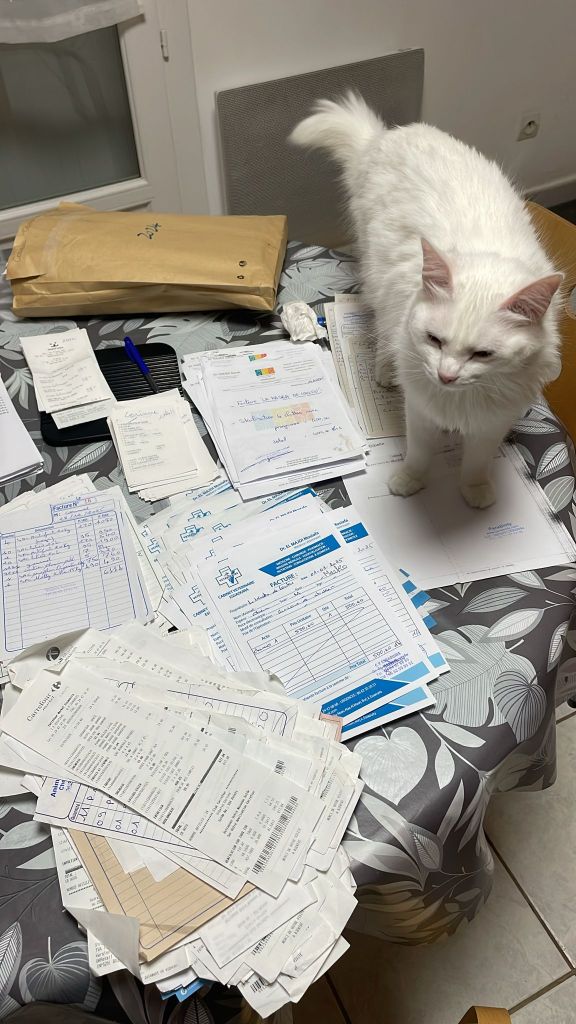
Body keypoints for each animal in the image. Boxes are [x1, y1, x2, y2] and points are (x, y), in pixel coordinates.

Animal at [290, 93, 563, 508]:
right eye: (434, 340)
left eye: (483, 354)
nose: (446, 375)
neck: (461, 401)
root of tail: (384, 137)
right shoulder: (419, 409)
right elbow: (419, 453)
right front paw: (409, 482)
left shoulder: (493, 421)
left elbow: (477, 461)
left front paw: (475, 491)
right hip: (378, 276)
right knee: (383, 330)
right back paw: (385, 372)